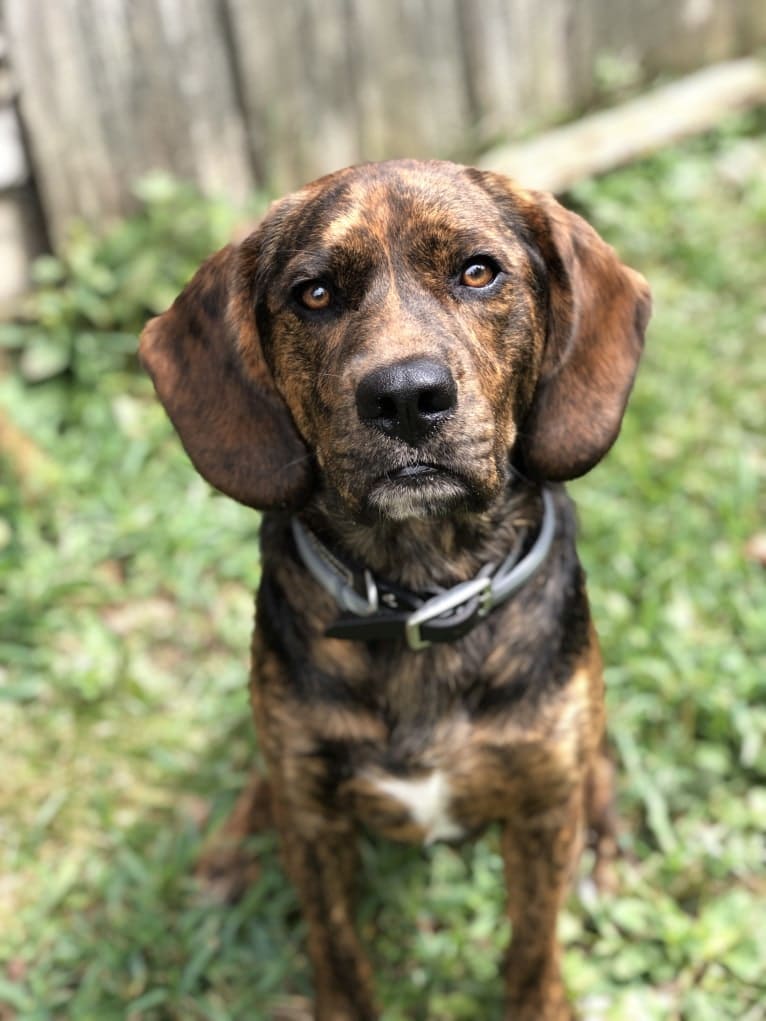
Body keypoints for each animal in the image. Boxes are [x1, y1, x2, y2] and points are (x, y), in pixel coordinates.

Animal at [140, 157, 649, 1012]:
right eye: (314, 292)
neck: (421, 591)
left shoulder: (542, 810)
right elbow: (337, 946)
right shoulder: (316, 824)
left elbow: (533, 945)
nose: (407, 396)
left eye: (478, 272)